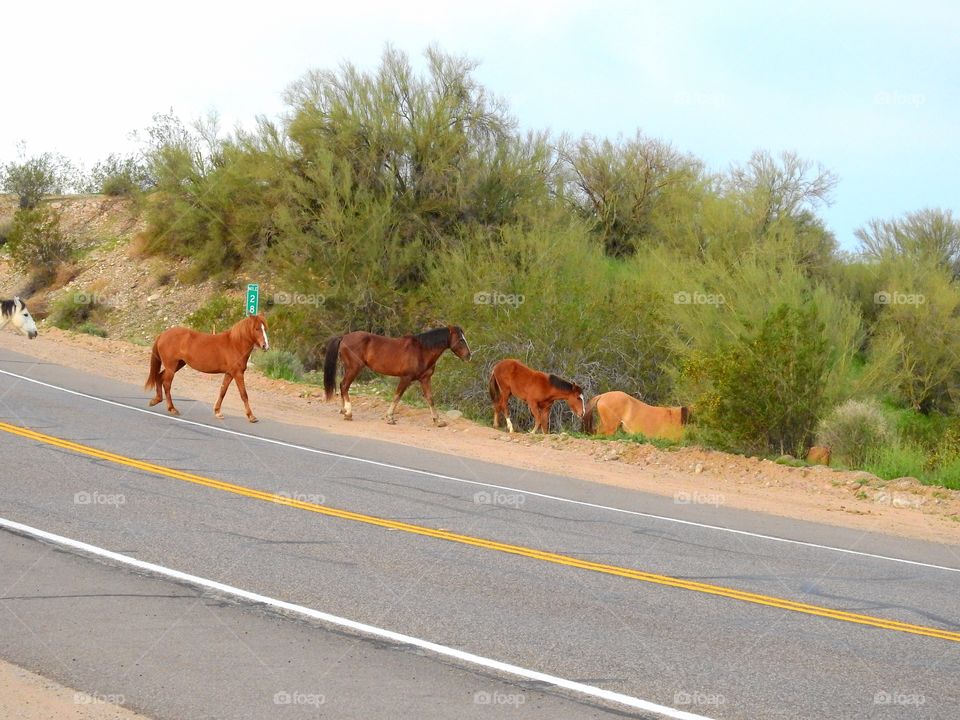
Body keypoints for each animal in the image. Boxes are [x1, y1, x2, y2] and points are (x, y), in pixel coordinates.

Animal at [324, 328, 470, 428]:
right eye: (461, 339)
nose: (469, 356)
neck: (421, 351)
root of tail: (344, 337)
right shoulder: (405, 378)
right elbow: (397, 396)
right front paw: (390, 418)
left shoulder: (425, 379)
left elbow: (430, 399)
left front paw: (438, 421)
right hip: (354, 369)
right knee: (344, 386)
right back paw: (348, 413)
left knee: (343, 386)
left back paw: (344, 410)